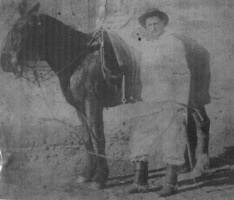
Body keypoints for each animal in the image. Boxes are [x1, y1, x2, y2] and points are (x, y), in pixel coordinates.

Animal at [0, 2, 211, 188]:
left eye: (24, 28)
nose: (5, 62)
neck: (79, 59)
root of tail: (198, 46)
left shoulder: (92, 105)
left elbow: (98, 138)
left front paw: (100, 178)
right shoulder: (80, 108)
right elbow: (87, 138)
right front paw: (86, 174)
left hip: (194, 99)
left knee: (202, 124)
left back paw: (199, 167)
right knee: (187, 127)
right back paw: (184, 167)